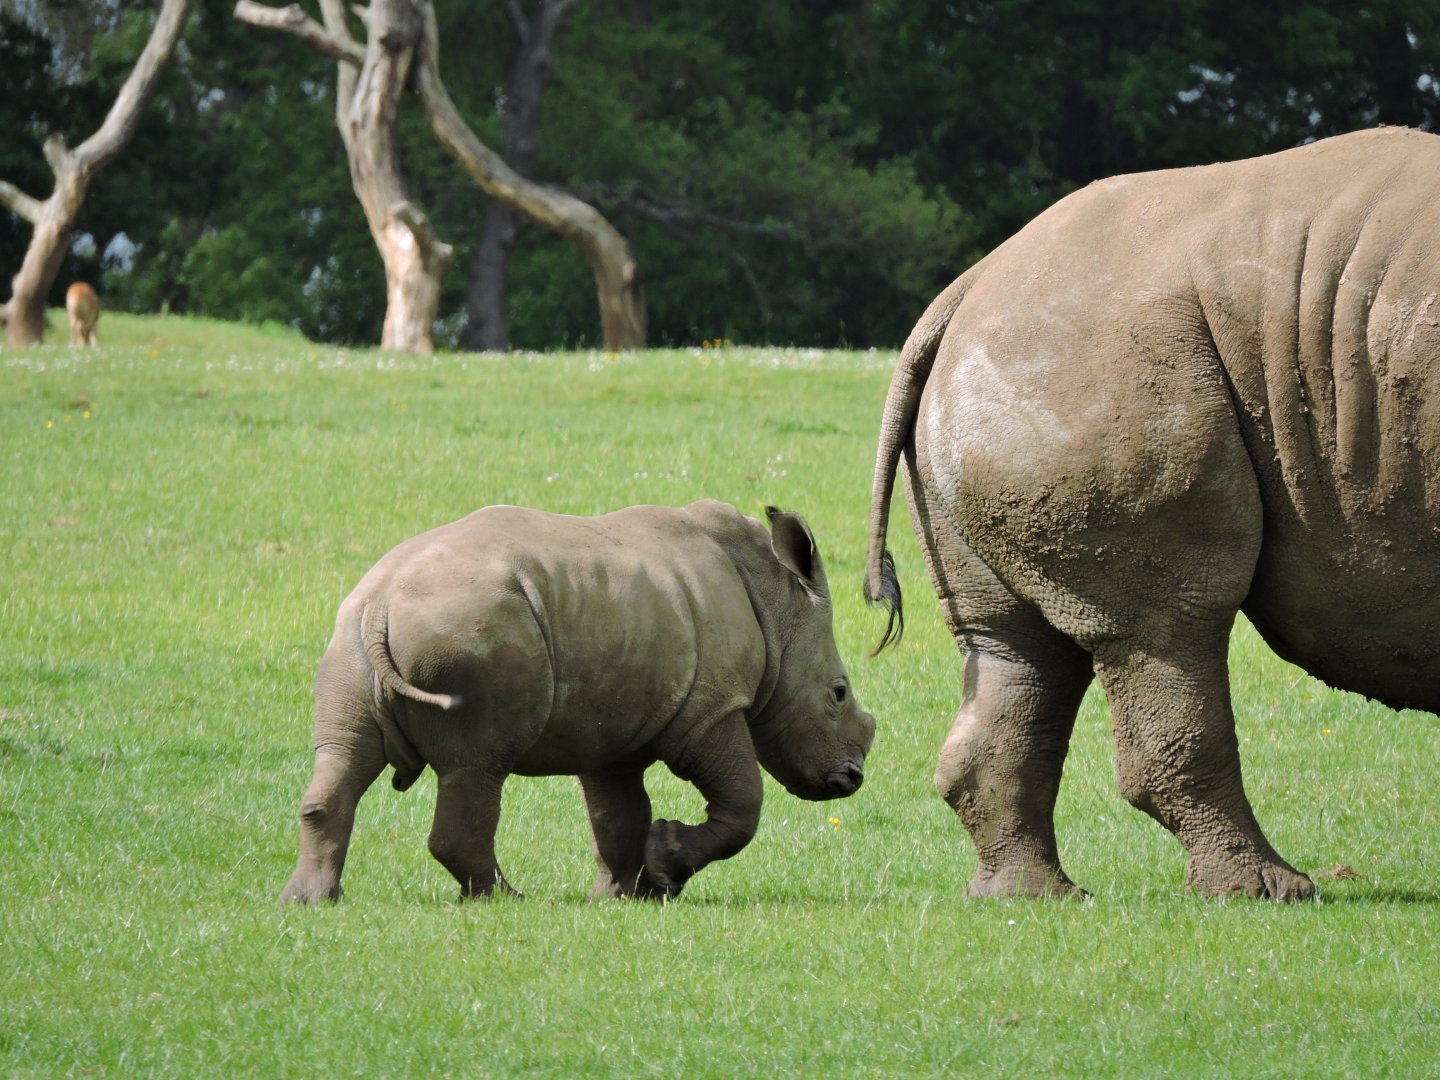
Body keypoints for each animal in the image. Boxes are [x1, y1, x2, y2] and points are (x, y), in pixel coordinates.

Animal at [281, 500, 875, 903]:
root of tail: (381, 605)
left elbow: (618, 813)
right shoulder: (712, 708)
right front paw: (665, 870)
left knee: (346, 756)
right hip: (465, 634)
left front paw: (621, 895)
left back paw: (310, 902)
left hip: (349, 640)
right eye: (838, 694)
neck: (777, 607)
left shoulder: (613, 728)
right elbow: (743, 803)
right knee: (478, 766)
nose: (852, 780)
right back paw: (505, 900)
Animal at [867, 126, 1440, 900]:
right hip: (1103, 356)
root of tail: (967, 288)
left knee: (1014, 647)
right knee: (1169, 623)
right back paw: (1267, 892)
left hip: (1011, 370)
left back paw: (1032, 900)